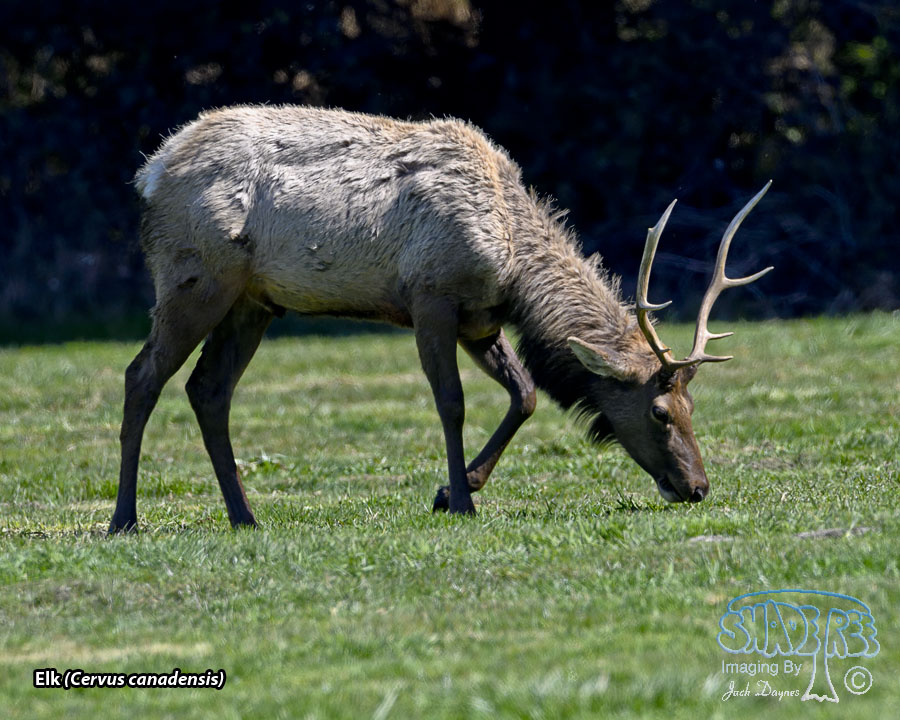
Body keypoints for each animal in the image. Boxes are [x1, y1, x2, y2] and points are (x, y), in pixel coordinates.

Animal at [109, 105, 772, 532]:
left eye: (692, 406)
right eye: (659, 411)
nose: (697, 487)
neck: (512, 265)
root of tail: (150, 171)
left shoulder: (481, 320)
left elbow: (526, 394)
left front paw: (454, 488)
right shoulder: (431, 296)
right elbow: (450, 402)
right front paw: (459, 502)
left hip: (253, 301)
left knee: (207, 390)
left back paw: (244, 515)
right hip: (196, 277)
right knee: (142, 376)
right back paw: (125, 518)